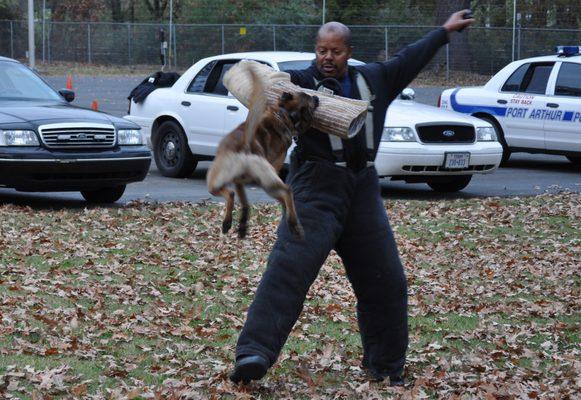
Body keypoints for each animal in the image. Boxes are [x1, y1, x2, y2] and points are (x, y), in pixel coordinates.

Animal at [206, 62, 320, 238]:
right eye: (309, 98)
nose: (317, 97)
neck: (284, 112)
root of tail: (245, 145)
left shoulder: (239, 182)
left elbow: (245, 203)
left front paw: (242, 224)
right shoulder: (275, 166)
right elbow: (283, 199)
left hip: (215, 181)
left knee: (230, 194)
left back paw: (228, 224)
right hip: (268, 181)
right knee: (288, 191)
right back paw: (294, 224)